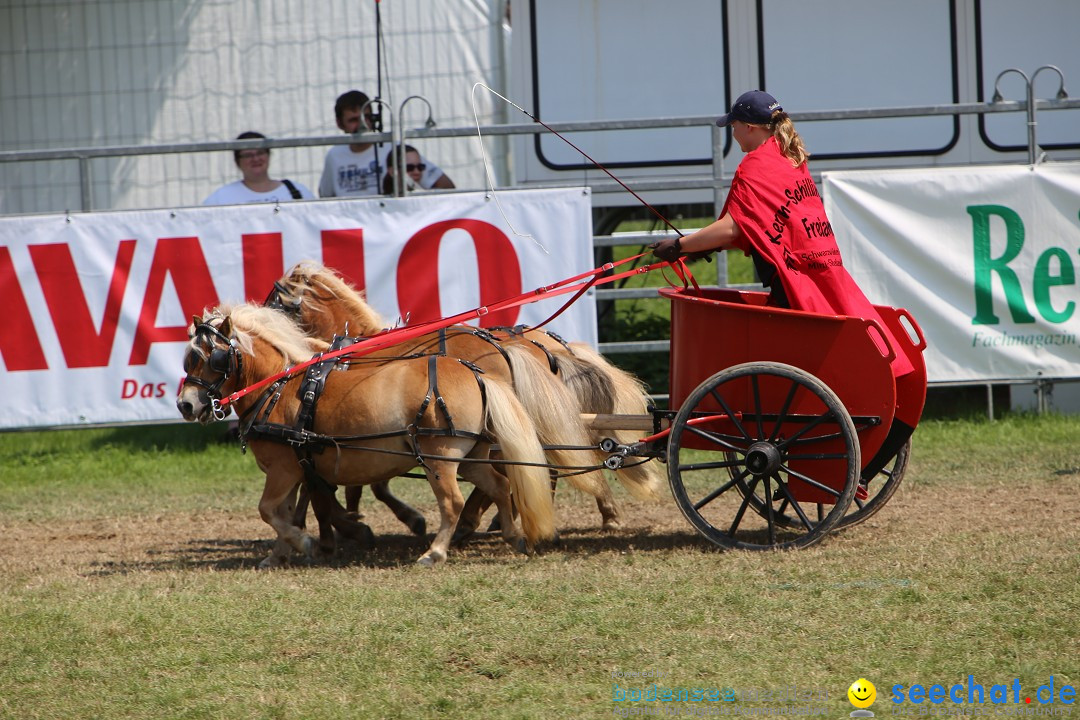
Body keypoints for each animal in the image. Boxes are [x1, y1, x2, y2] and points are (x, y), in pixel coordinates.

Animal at [177, 302, 557, 565]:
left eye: (213, 359)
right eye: (188, 359)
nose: (185, 405)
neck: (278, 389)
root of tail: (477, 372)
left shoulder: (285, 469)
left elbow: (269, 510)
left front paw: (307, 543)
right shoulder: (293, 469)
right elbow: (285, 510)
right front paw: (279, 554)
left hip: (440, 458)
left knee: (454, 501)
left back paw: (435, 552)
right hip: (471, 455)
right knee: (500, 485)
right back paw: (513, 535)